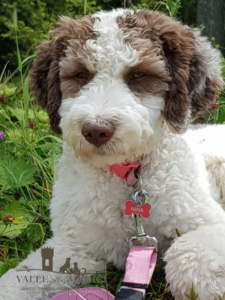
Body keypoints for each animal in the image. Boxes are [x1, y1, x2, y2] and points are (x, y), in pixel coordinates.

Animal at [0, 8, 225, 300]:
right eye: (80, 74)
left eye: (138, 75)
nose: (96, 130)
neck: (128, 175)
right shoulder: (76, 245)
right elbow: (19, 278)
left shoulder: (206, 221)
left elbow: (189, 255)